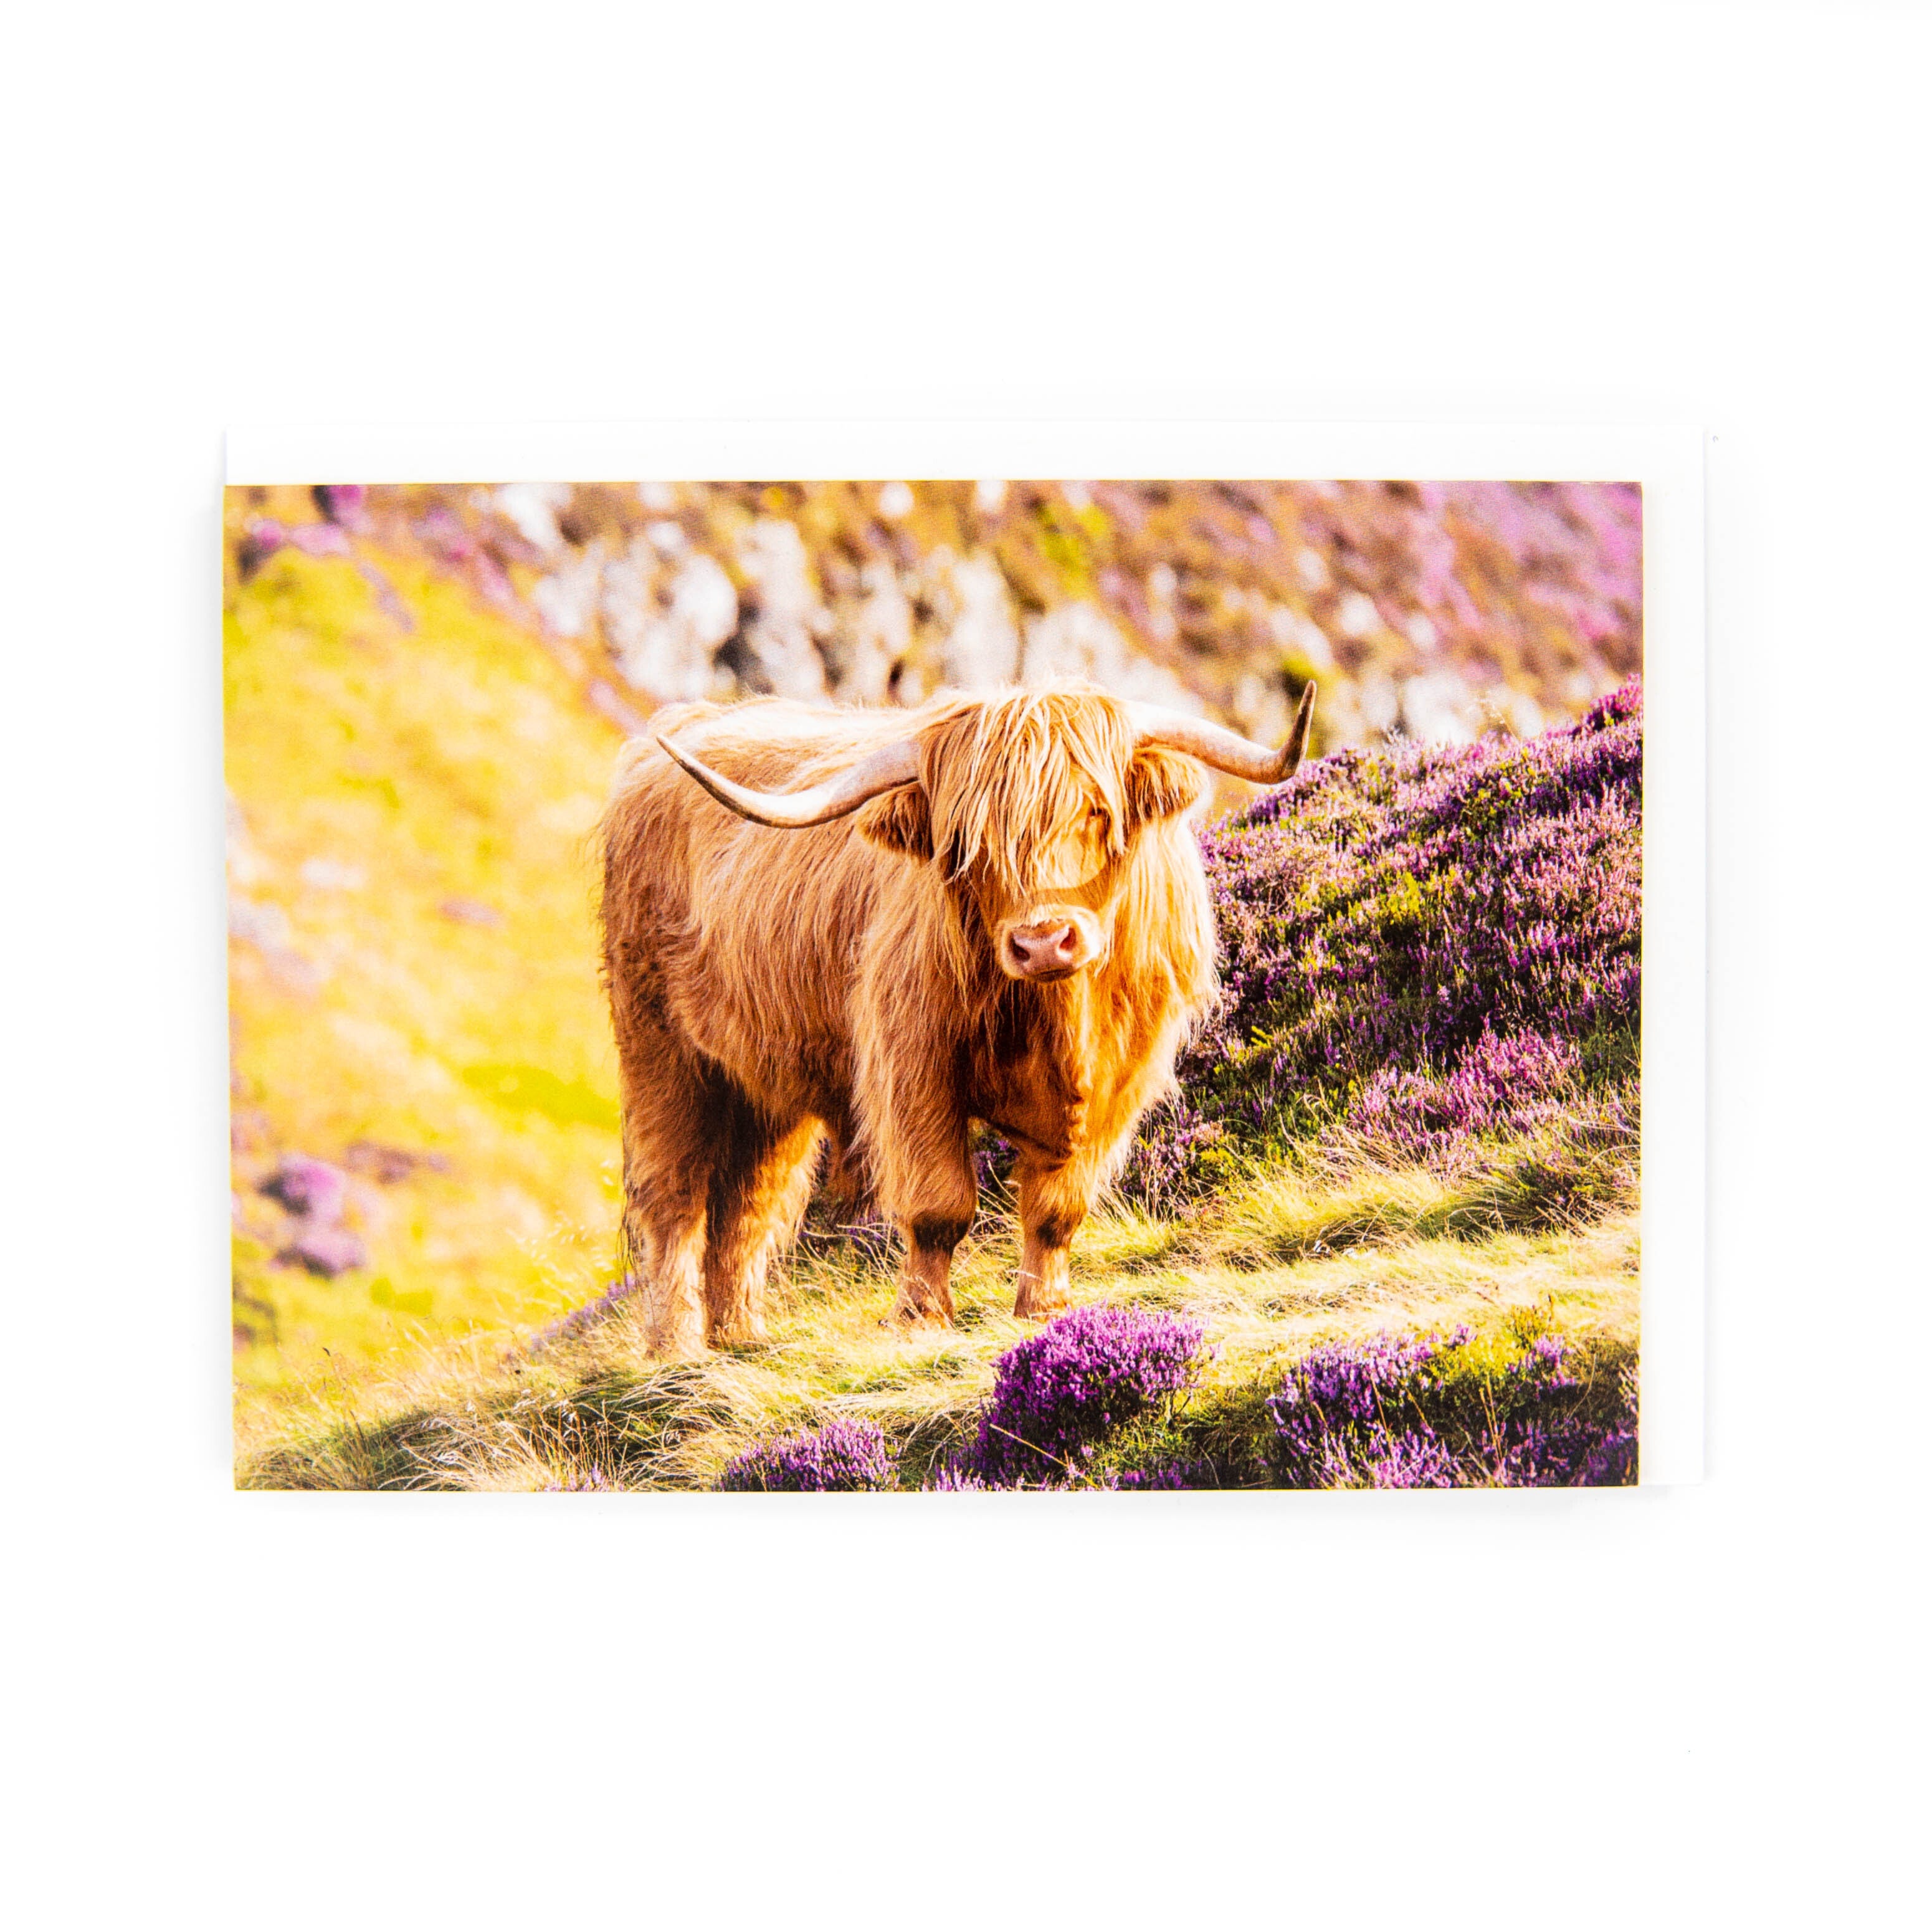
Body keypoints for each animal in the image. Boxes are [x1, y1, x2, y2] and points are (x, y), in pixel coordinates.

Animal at [599, 679, 1316, 1356]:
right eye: (969, 839)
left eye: (1095, 810)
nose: (1043, 941)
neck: (1058, 1018)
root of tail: (680, 728)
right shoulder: (913, 1064)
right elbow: (938, 1202)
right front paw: (921, 1317)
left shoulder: (1120, 1076)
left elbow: (1058, 1206)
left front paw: (1045, 1310)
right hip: (659, 1046)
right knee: (674, 1194)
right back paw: (676, 1346)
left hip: (763, 1080)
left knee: (748, 1200)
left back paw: (741, 1335)